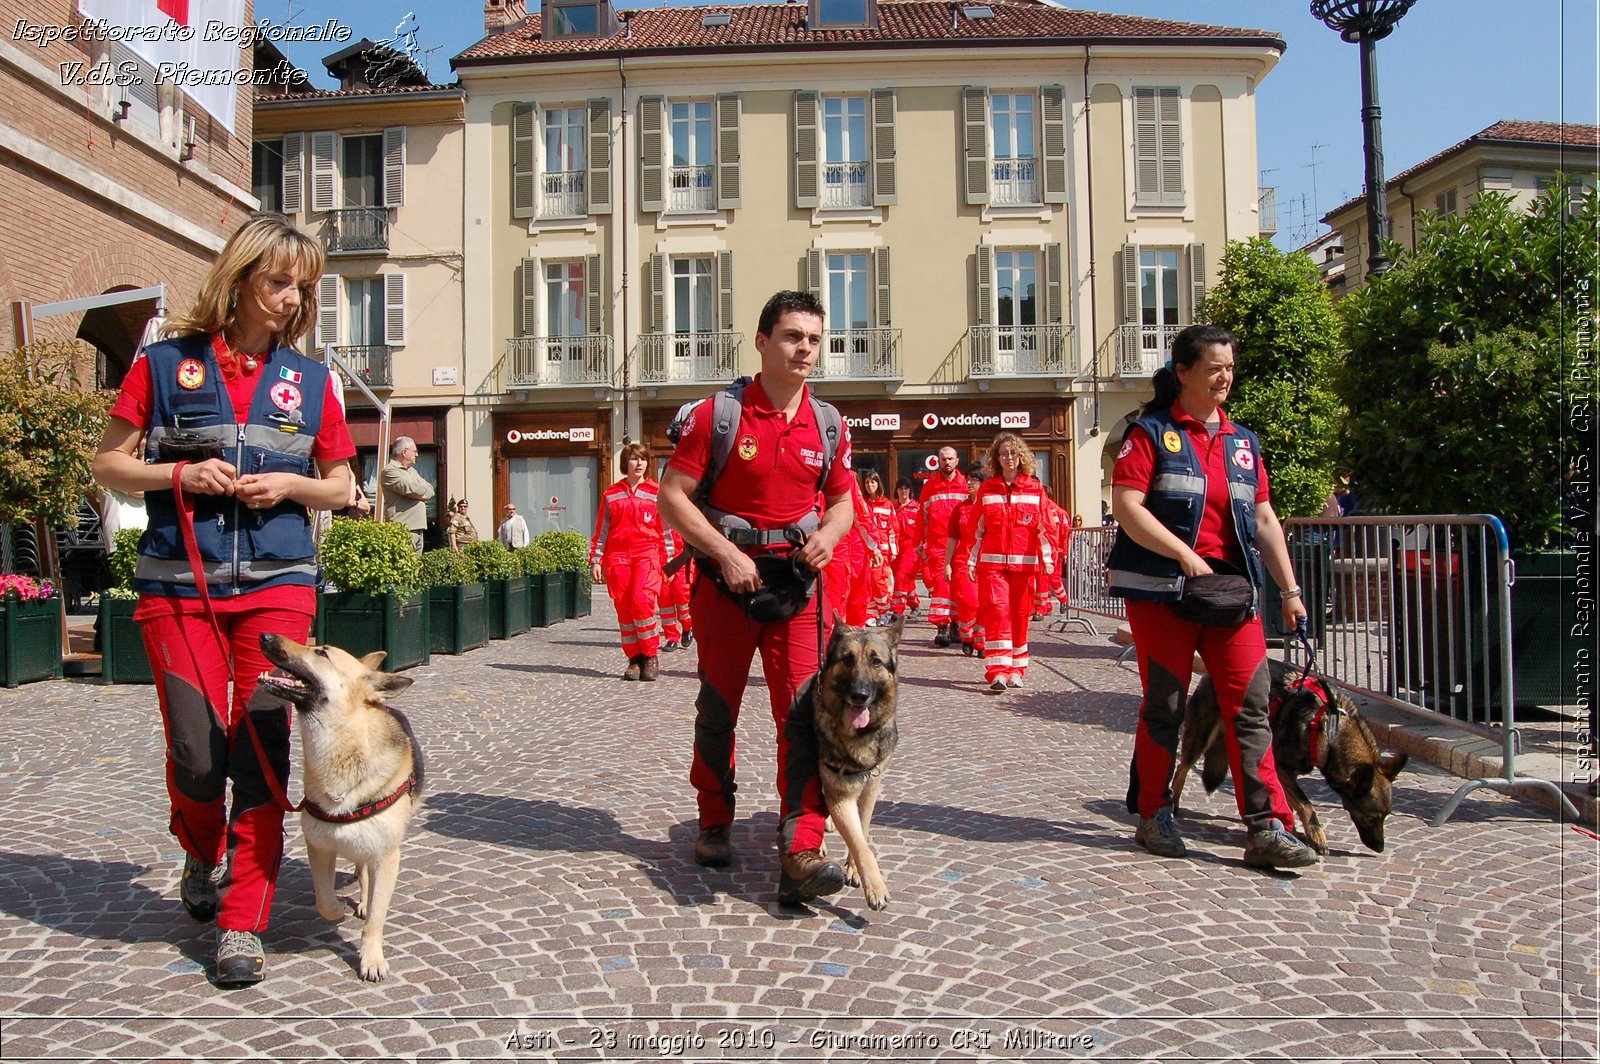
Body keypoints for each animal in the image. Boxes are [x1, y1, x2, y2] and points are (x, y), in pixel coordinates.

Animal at [256, 630, 422, 979]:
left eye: (321, 652)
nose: (264, 635)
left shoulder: (386, 857)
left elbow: (376, 916)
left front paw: (371, 957)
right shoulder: (320, 847)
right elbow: (324, 898)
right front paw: (337, 913)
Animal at [796, 617, 902, 908]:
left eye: (876, 661)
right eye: (847, 659)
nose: (859, 695)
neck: (857, 736)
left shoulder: (870, 786)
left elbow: (862, 831)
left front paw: (854, 869)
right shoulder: (840, 795)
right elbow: (859, 843)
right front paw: (875, 887)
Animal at [1171, 656, 1408, 857]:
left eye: (1386, 816)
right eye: (1372, 817)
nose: (1380, 847)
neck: (1330, 729)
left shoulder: (1284, 772)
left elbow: (1289, 802)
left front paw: (1290, 830)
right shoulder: (1281, 768)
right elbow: (1305, 805)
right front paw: (1316, 836)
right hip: (1199, 738)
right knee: (1180, 770)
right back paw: (1173, 804)